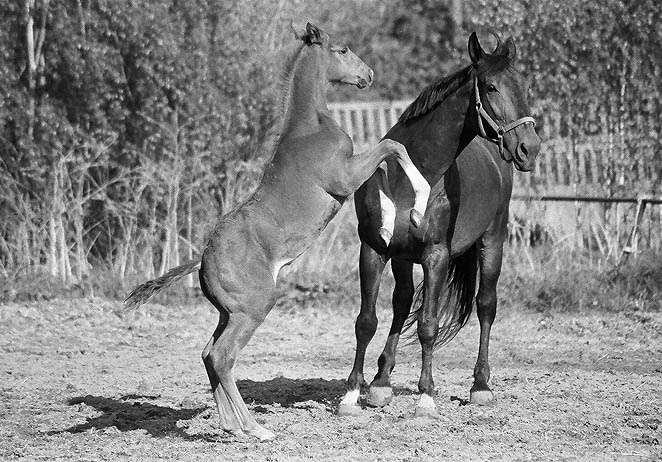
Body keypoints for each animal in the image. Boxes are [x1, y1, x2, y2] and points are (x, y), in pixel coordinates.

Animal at [126, 24, 434, 440]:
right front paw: (417, 203)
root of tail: (202, 259)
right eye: (342, 49)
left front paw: (388, 221)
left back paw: (231, 425)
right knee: (222, 356)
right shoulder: (344, 176)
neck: (309, 126)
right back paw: (256, 429)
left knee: (208, 353)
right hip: (255, 307)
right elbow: (392, 147)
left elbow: (386, 163)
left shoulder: (352, 172)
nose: (368, 75)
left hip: (229, 311)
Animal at [340, 31, 544, 416]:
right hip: (403, 257)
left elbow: (428, 325)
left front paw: (425, 398)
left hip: (493, 240)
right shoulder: (373, 249)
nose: (530, 148)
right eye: (491, 86)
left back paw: (481, 386)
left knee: (486, 305)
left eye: (526, 85)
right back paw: (381, 382)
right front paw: (352, 394)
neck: (411, 172)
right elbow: (366, 320)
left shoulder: (436, 256)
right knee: (402, 301)